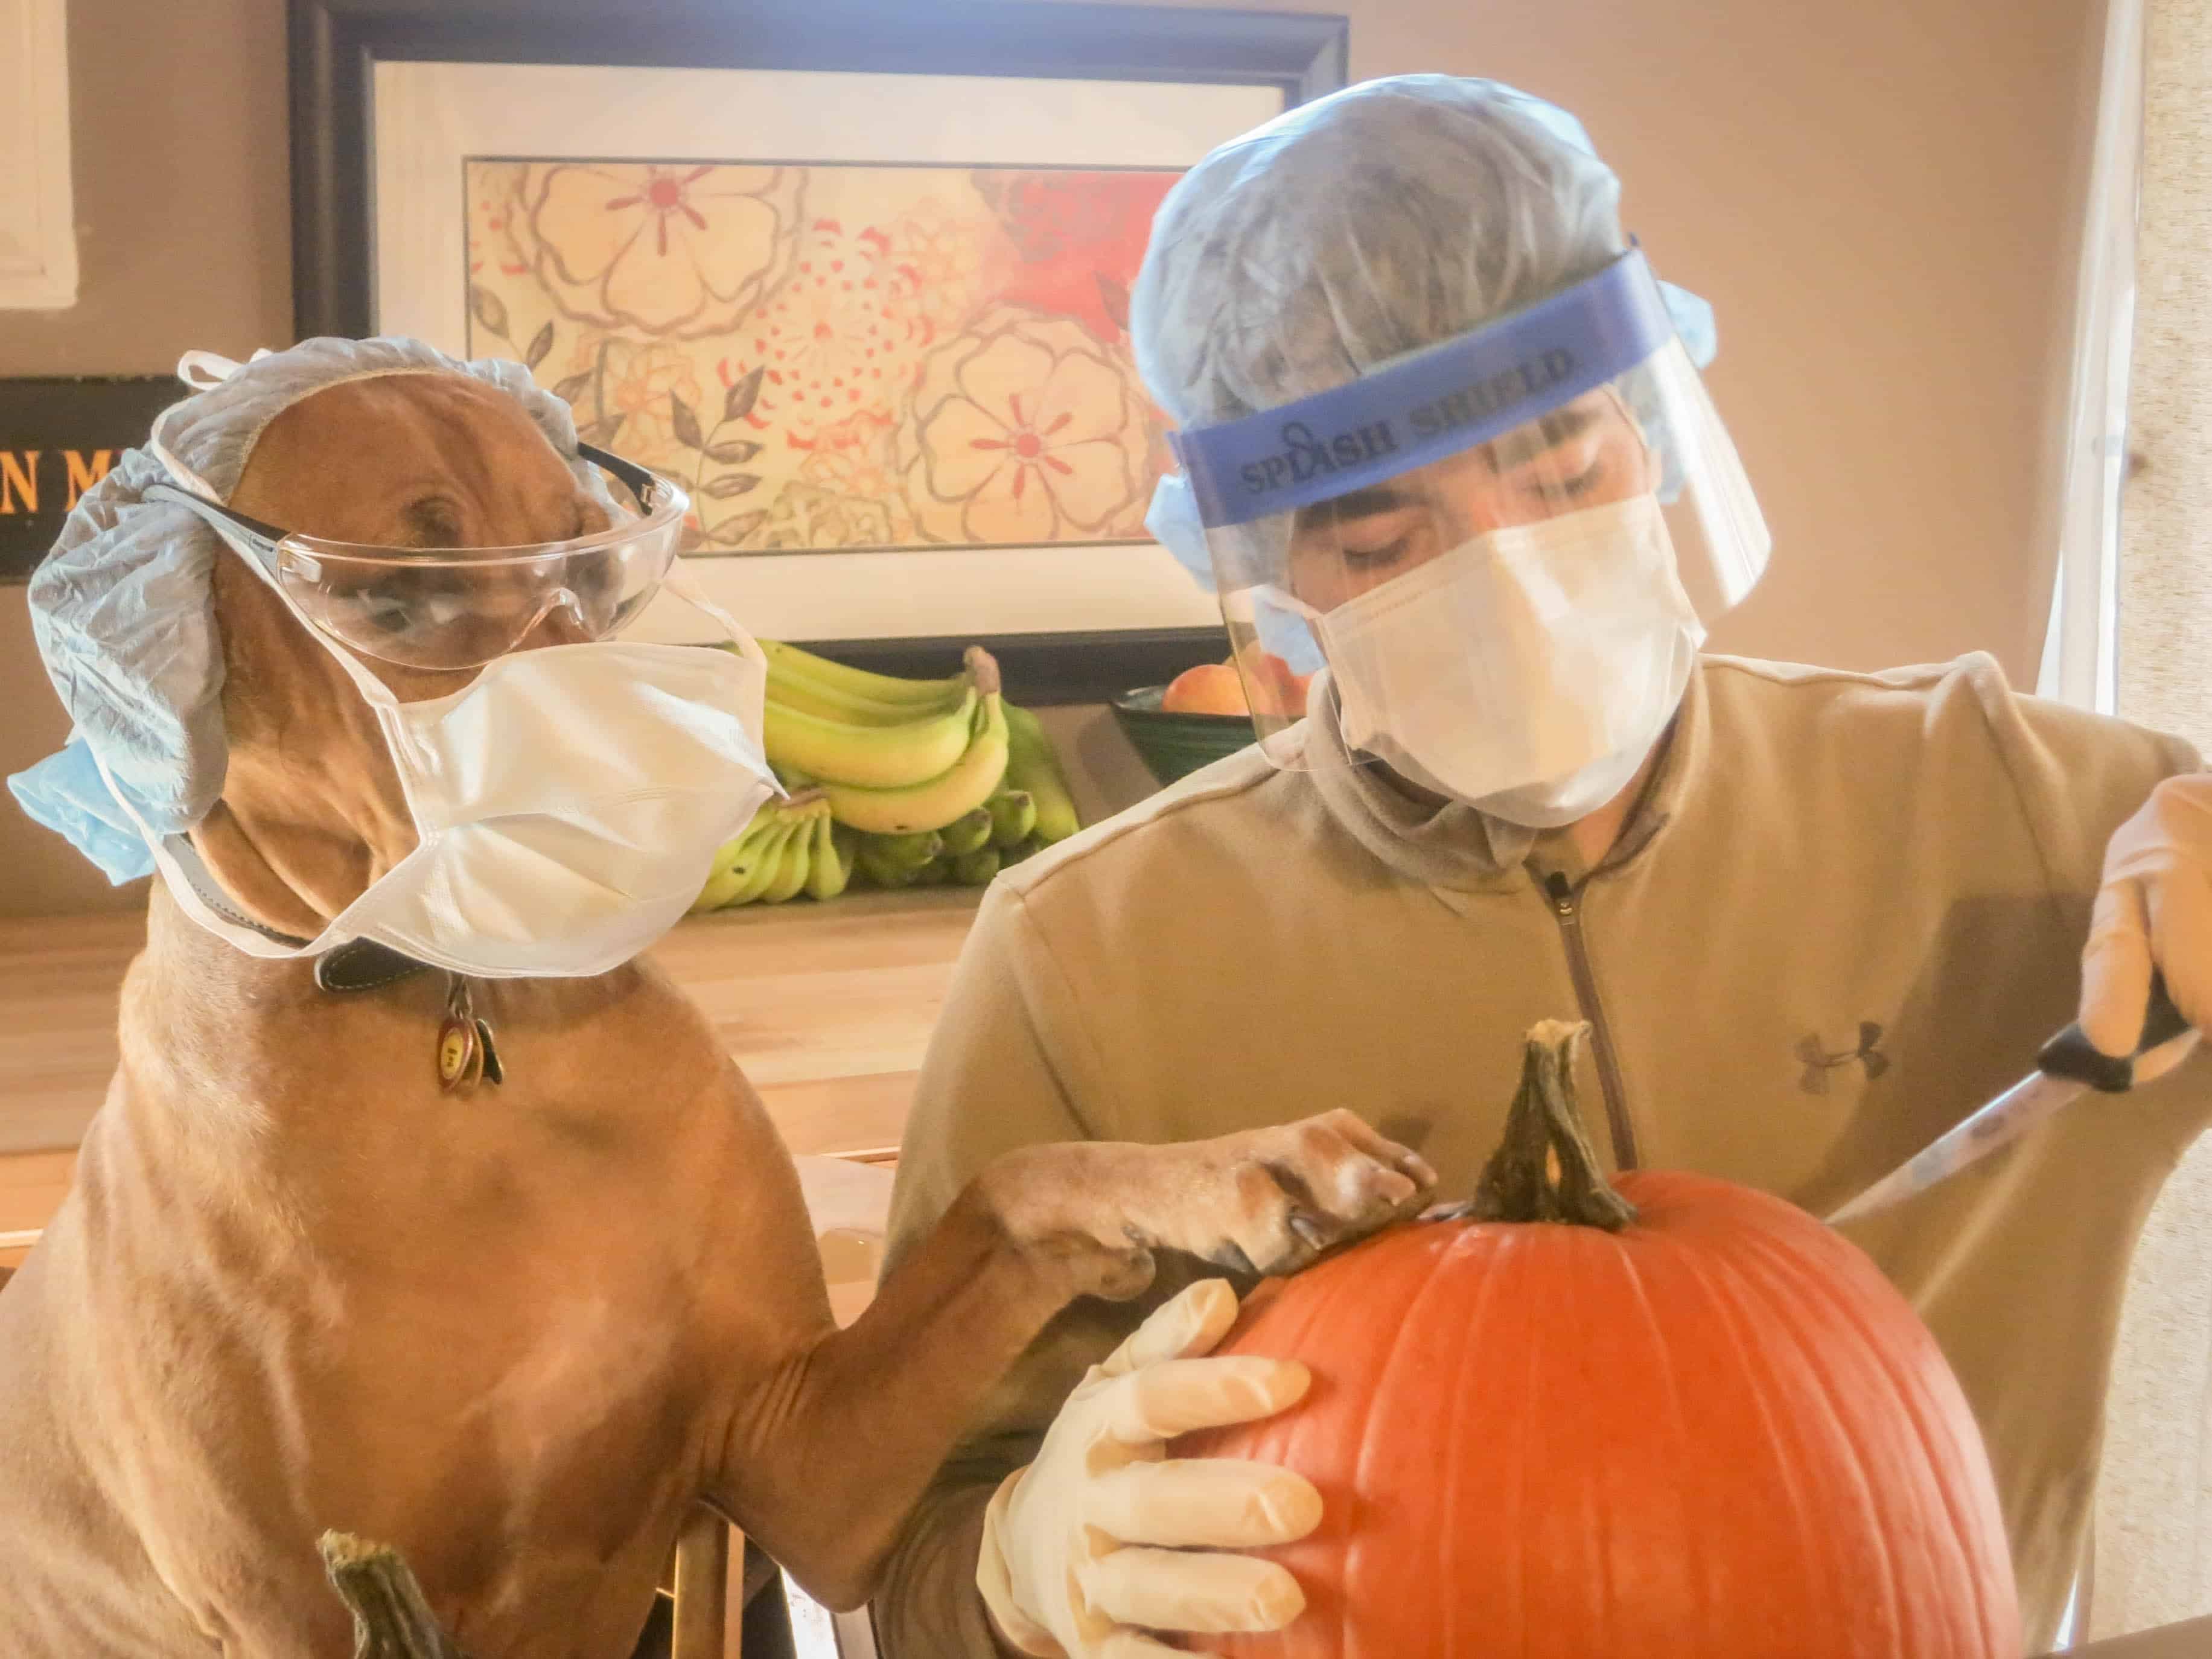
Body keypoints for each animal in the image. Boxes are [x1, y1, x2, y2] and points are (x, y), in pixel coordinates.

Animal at [0, 369, 1433, 1654]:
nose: (658, 746)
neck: (462, 1027)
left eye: (596, 557)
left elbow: (1018, 1178)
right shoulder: (308, 1606)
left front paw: (1240, 1168)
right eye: (395, 596)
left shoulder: (795, 1456)